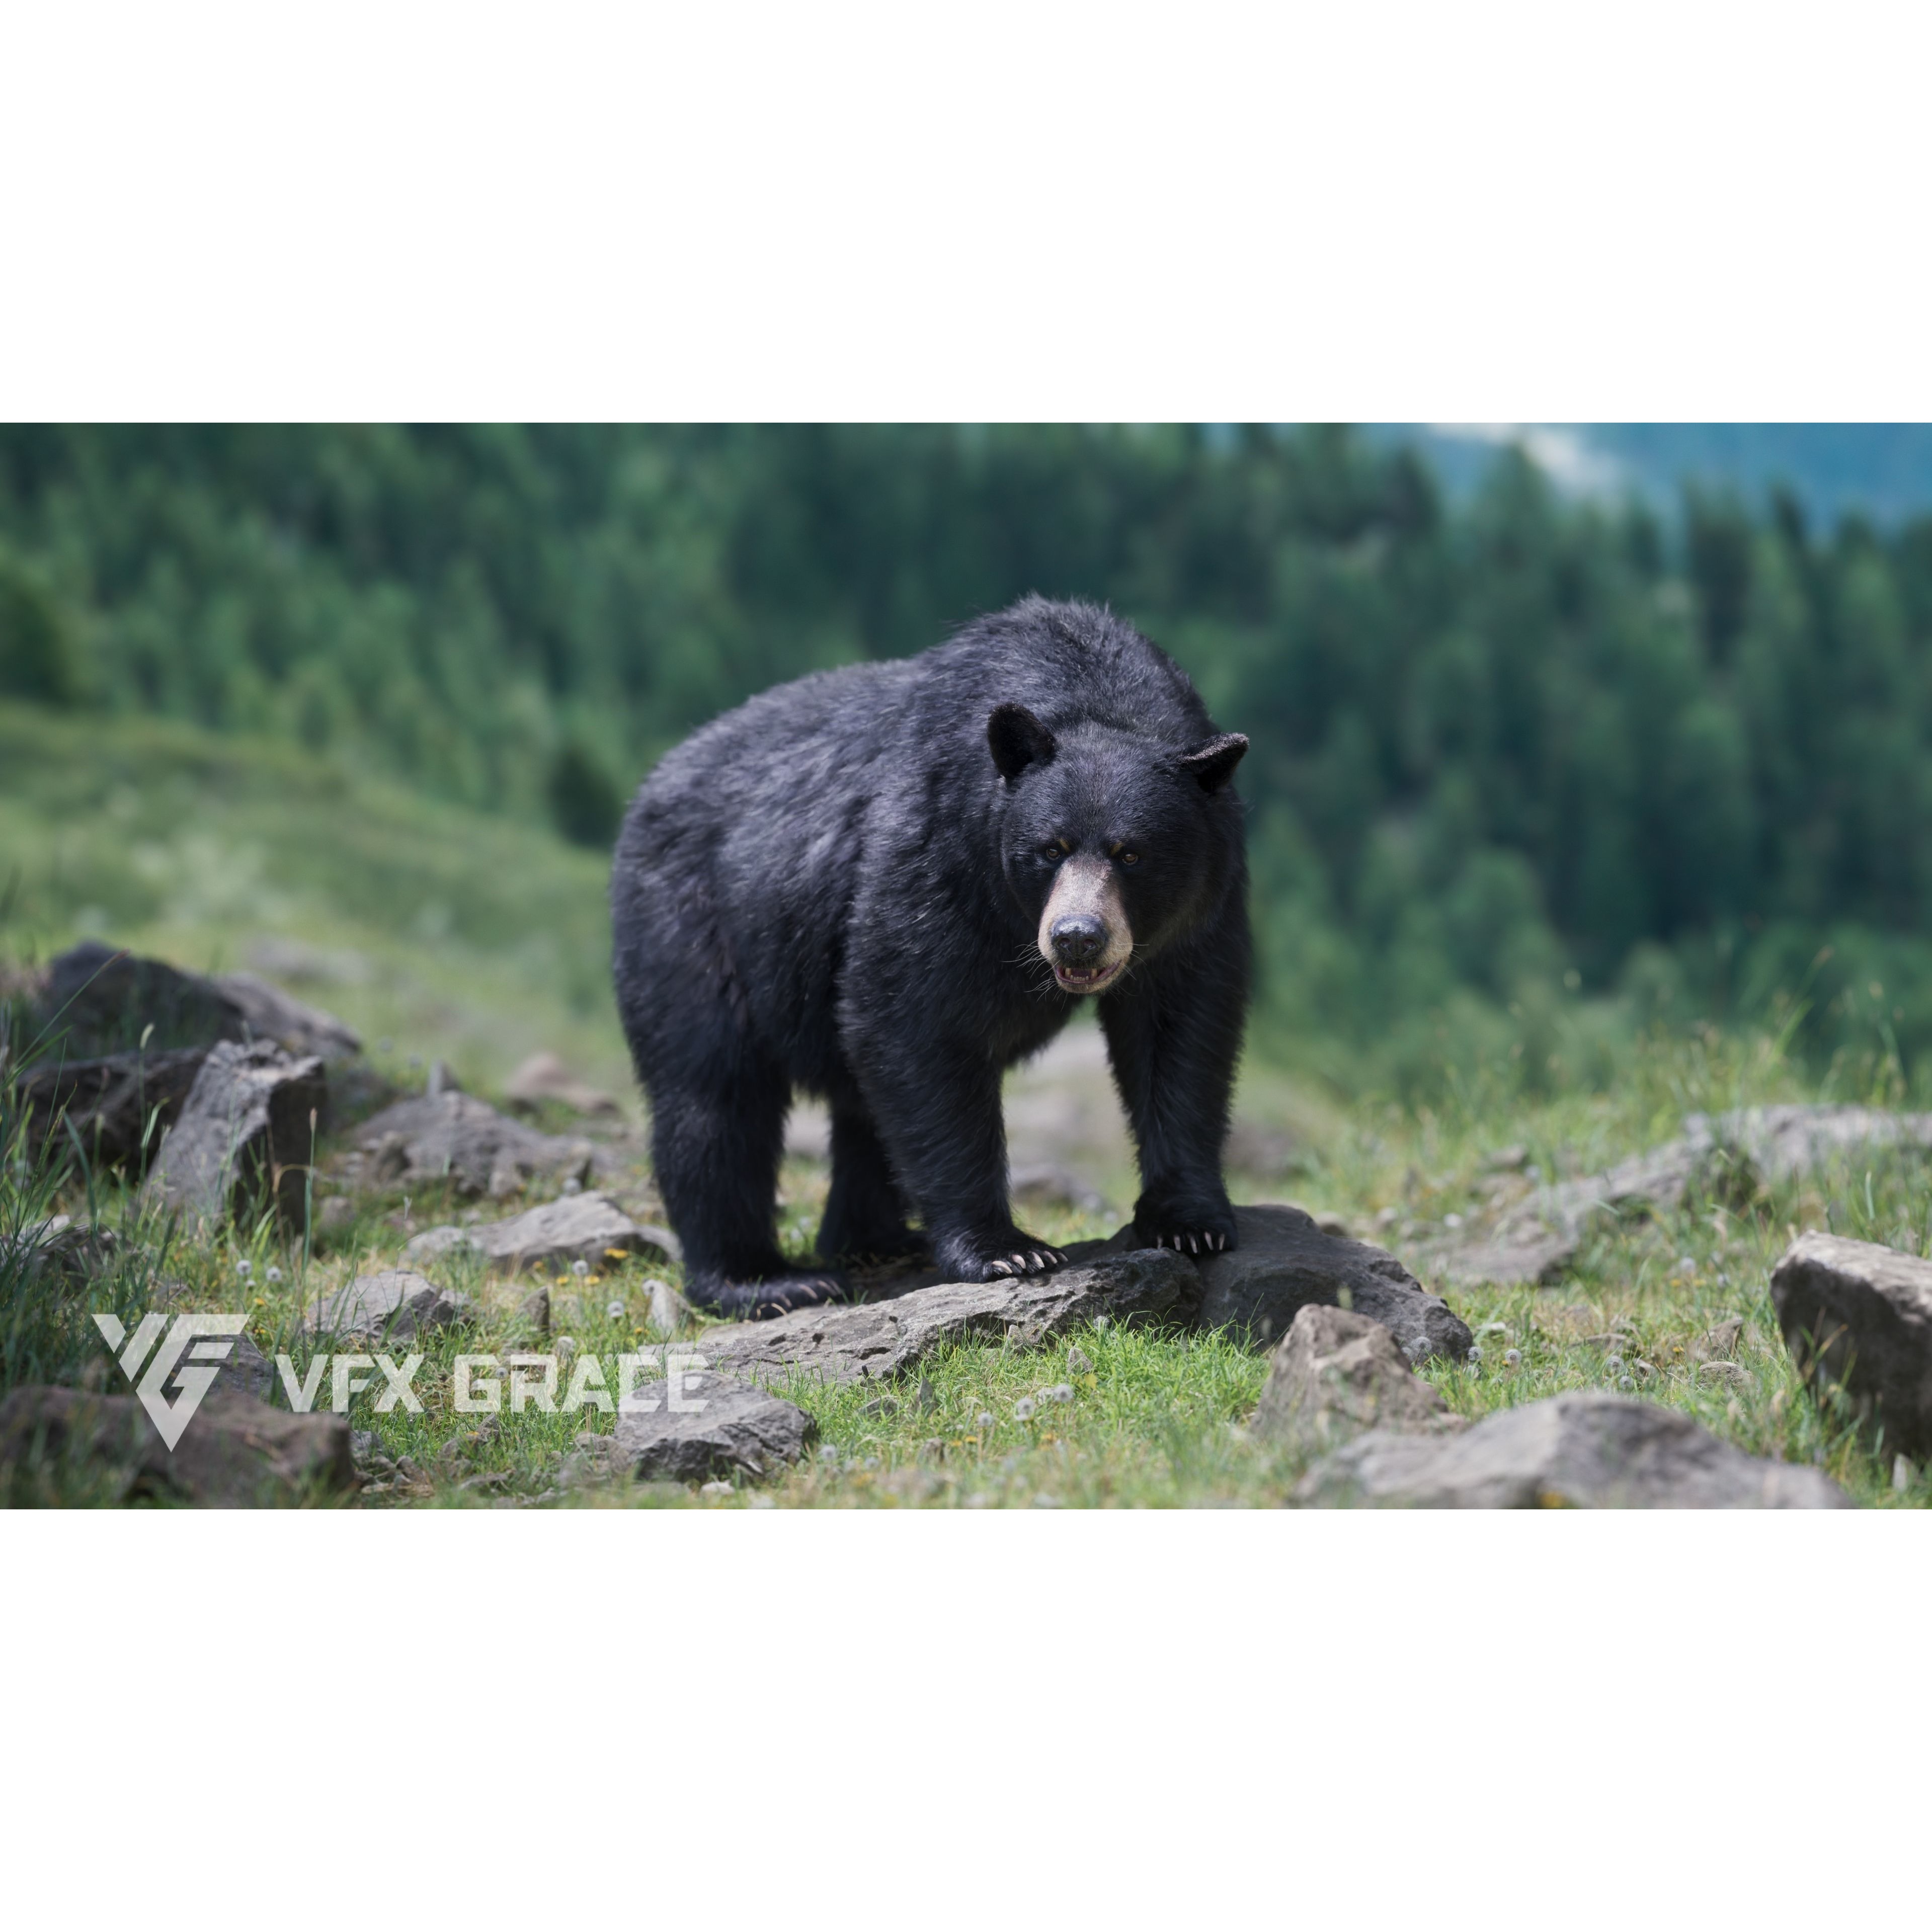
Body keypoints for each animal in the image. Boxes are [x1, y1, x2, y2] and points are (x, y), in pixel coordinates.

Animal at [611, 595, 1250, 1319]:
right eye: (1050, 848)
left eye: (1131, 853)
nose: (1078, 936)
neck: (1092, 692)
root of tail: (649, 787)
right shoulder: (939, 851)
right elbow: (914, 1020)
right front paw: (1008, 1249)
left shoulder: (1207, 899)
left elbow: (1181, 1033)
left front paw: (1191, 1222)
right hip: (695, 921)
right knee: (716, 1092)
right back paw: (764, 1278)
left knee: (857, 1109)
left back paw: (877, 1242)